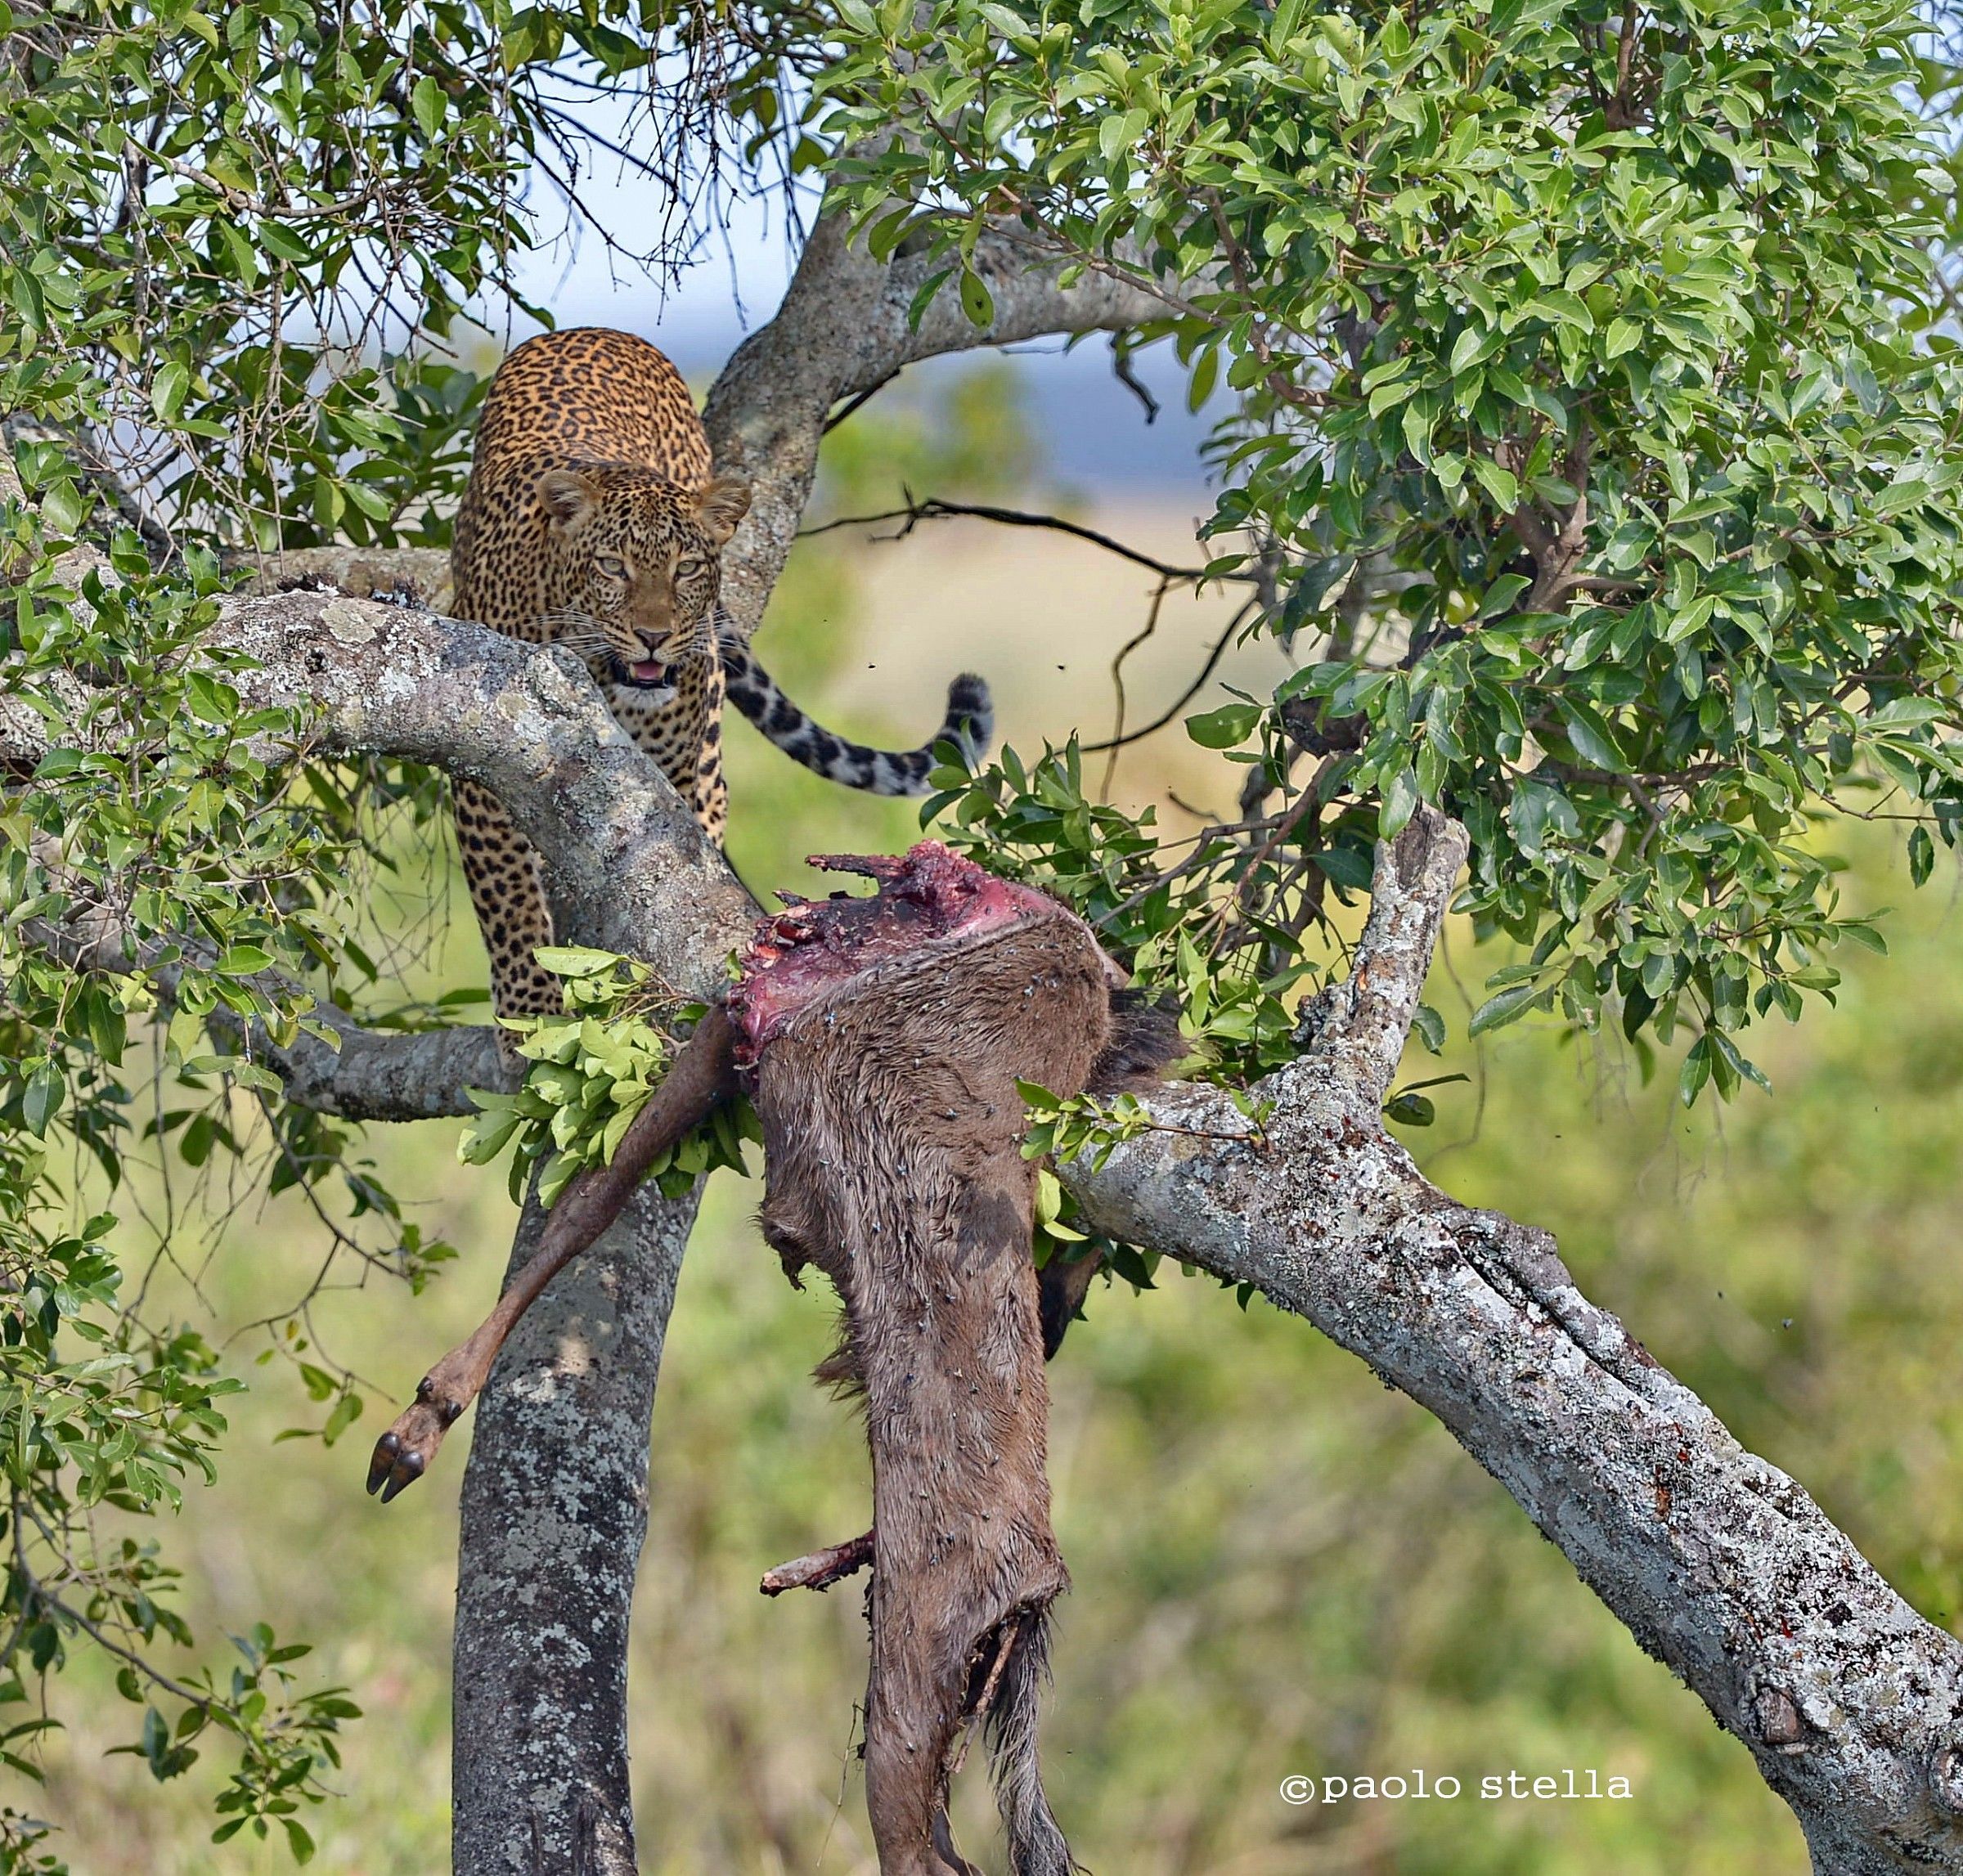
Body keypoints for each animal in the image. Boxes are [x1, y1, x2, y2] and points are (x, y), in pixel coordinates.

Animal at [449, 325, 993, 1022]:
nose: (655, 636)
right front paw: (529, 1013)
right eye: (612, 567)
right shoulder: (483, 764)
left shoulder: (668, 775)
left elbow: (660, 881)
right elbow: (508, 899)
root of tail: (597, 329)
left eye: (686, 568)